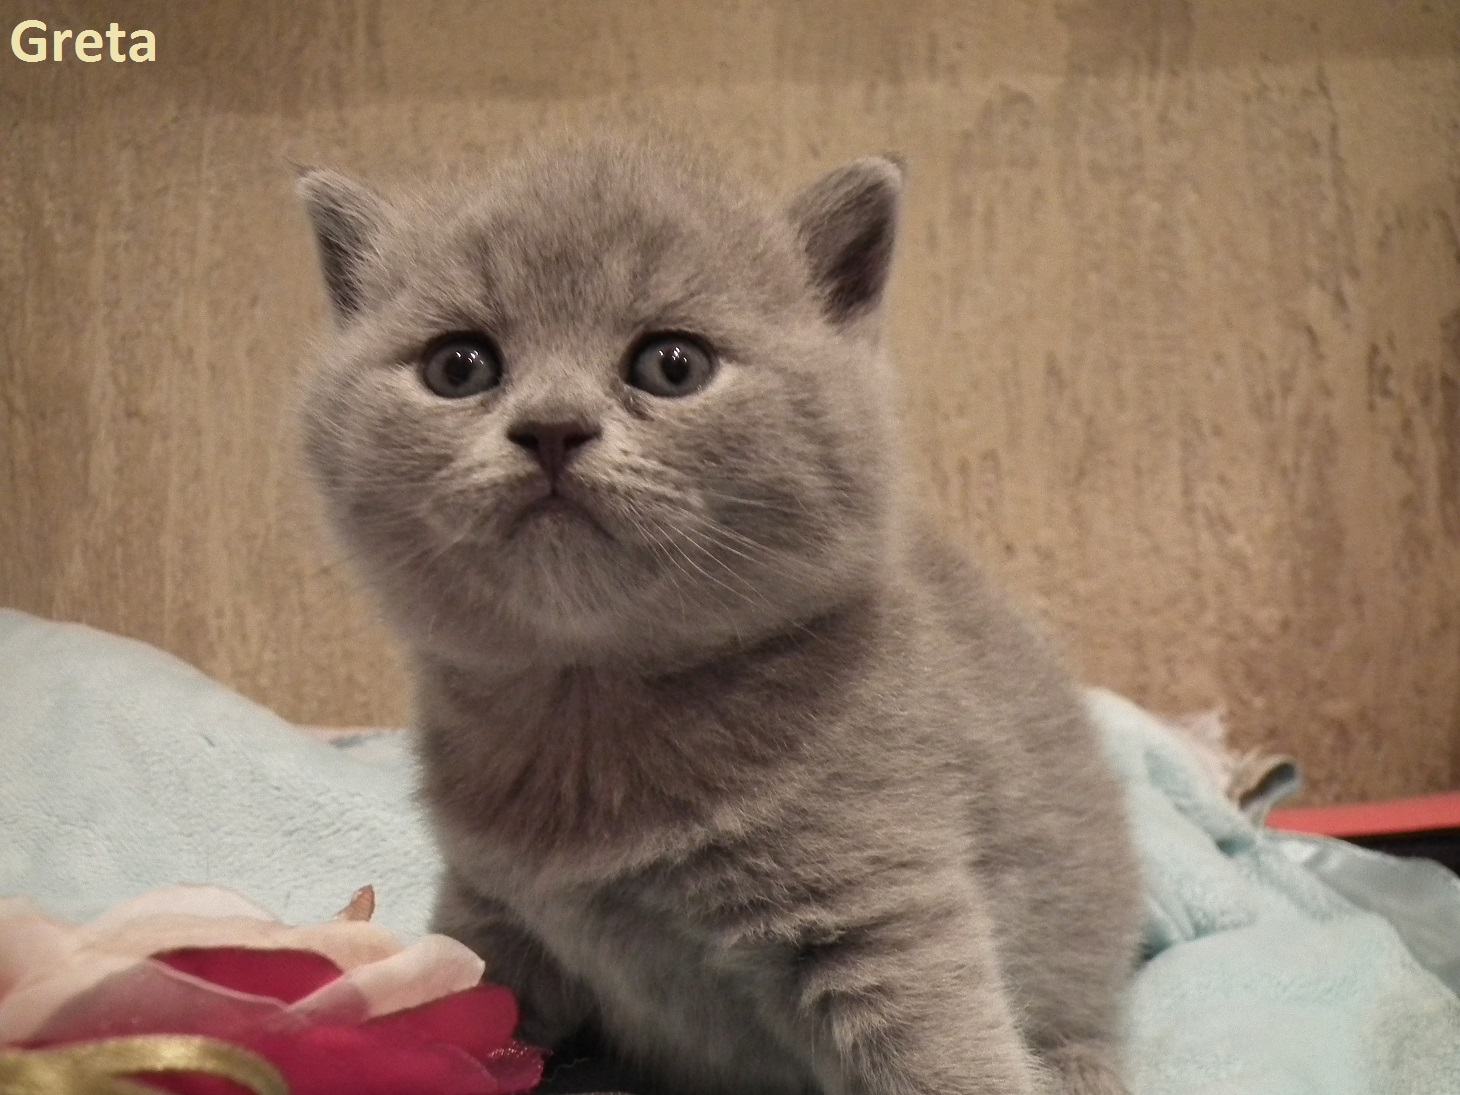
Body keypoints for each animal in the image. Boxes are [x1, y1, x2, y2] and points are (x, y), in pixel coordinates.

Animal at [295, 134, 1143, 1095]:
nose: (553, 426)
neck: (590, 720)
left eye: (673, 365)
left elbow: (945, 1057)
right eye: (458, 365)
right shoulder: (489, 906)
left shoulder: (880, 908)